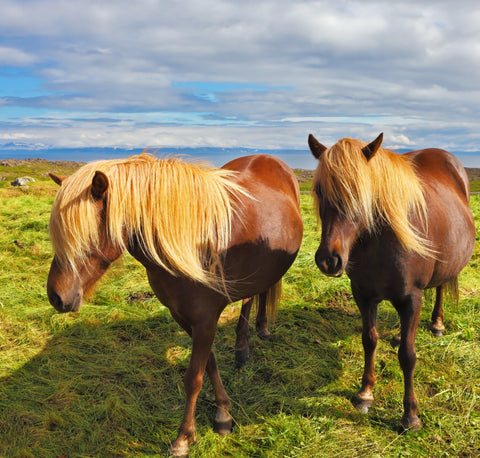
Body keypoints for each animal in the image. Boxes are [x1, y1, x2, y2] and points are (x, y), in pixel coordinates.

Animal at [47, 152, 302, 456]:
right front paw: (223, 412)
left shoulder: (205, 321)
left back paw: (259, 331)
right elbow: (209, 364)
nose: (56, 296)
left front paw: (184, 437)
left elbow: (193, 378)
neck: (192, 241)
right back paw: (243, 347)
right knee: (254, 295)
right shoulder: (185, 317)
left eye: (87, 235)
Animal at [310, 133, 474, 432]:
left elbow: (408, 357)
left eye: (360, 193)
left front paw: (410, 415)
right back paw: (399, 335)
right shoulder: (363, 295)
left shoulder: (411, 299)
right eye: (319, 190)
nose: (329, 260)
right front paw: (365, 393)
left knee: (440, 289)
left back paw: (437, 324)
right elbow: (369, 340)